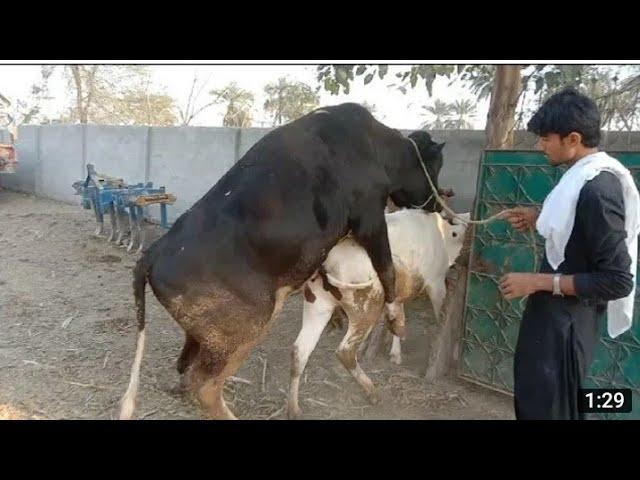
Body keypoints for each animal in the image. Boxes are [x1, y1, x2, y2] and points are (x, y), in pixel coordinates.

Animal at [121, 103, 450, 418]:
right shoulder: (369, 215)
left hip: (202, 335)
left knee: (184, 369)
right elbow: (387, 269)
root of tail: (152, 253)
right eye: (435, 164)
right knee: (204, 386)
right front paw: (396, 322)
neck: (373, 143)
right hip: (242, 330)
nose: (437, 203)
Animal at [288, 208, 468, 418]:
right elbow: (441, 316)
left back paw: (293, 409)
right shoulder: (436, 283)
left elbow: (397, 315)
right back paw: (372, 392)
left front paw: (396, 349)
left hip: (317, 305)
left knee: (300, 350)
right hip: (365, 307)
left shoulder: (398, 291)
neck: (444, 234)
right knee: (345, 351)